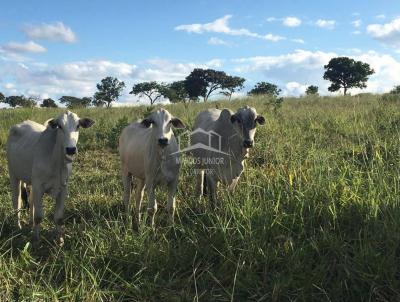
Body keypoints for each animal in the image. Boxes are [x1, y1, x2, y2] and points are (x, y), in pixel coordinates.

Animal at [6, 111, 94, 245]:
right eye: (60, 126)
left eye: (78, 126)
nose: (71, 149)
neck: (56, 162)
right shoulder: (39, 186)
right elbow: (38, 216)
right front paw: (36, 240)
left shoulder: (63, 188)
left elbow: (58, 217)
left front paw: (60, 240)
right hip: (14, 175)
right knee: (17, 201)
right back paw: (18, 226)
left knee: (30, 201)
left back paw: (30, 223)